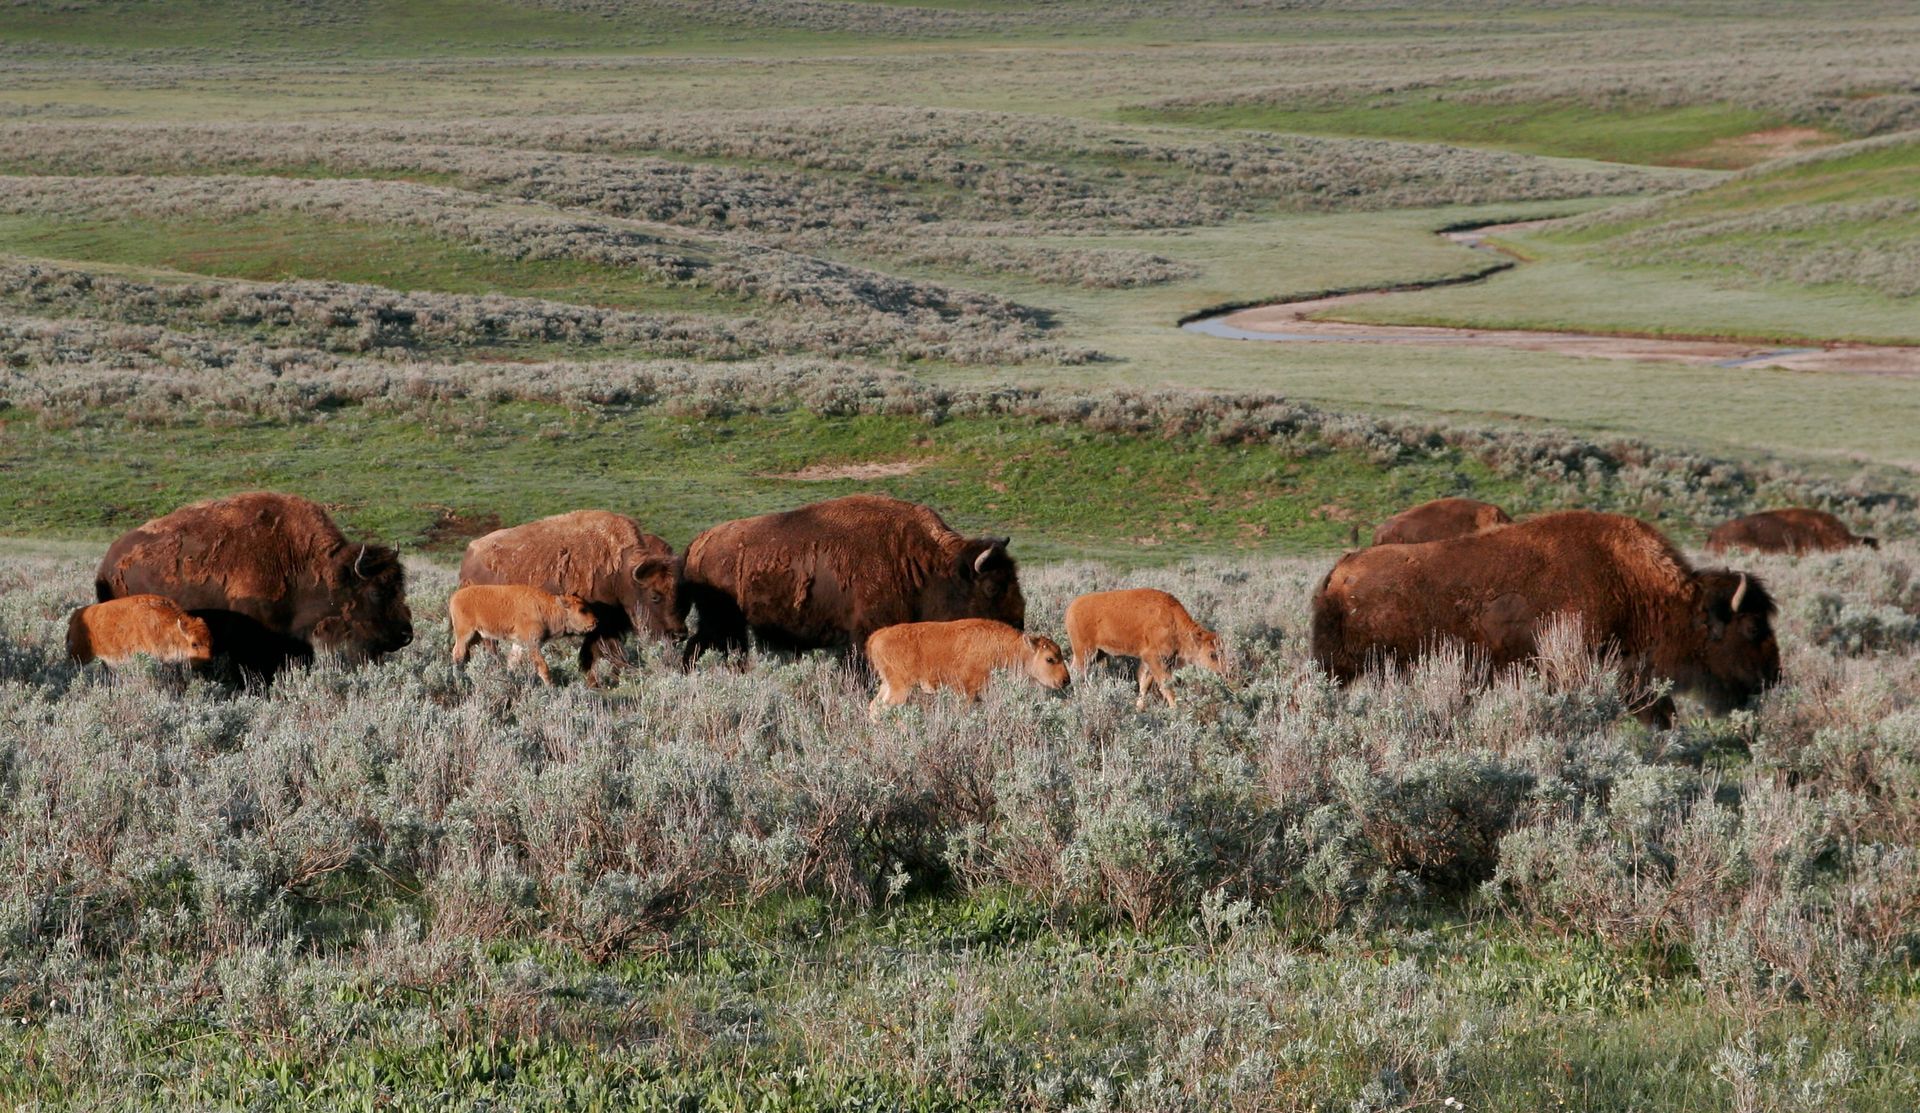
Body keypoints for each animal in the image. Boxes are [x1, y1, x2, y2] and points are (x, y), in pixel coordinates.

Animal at [448, 585, 598, 686]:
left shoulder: (518, 643)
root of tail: (455, 596)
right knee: (458, 654)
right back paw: (458, 679)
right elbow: (543, 668)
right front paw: (552, 687)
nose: (595, 622)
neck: (546, 608)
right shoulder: (533, 645)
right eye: (582, 609)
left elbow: (512, 662)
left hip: (476, 636)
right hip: (465, 634)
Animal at [865, 618, 1069, 718]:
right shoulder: (967, 692)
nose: (1066, 680)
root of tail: (877, 636)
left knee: (874, 706)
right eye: (1050, 659)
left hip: (887, 685)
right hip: (901, 689)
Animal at [1063, 588, 1227, 709]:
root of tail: (1072, 607)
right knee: (1076, 673)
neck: (1174, 623)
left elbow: (1144, 684)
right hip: (1085, 652)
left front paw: (1139, 708)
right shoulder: (1155, 659)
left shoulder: (1150, 663)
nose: (1223, 672)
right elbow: (1167, 687)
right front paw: (1176, 710)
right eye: (1212, 654)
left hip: (1098, 653)